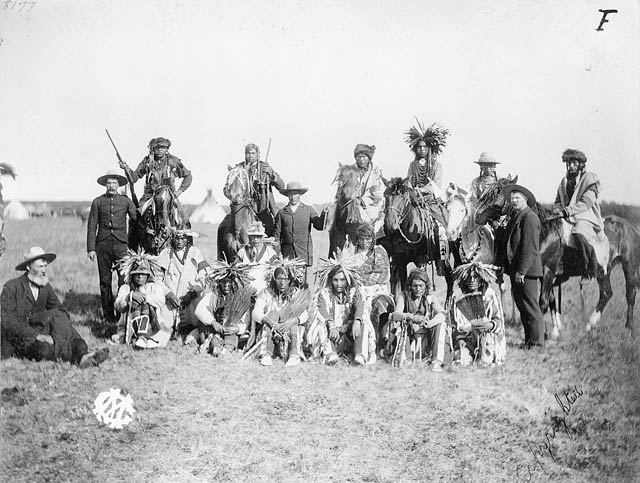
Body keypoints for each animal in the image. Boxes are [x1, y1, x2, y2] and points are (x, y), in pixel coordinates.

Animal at [478, 182, 636, 336]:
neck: (544, 232)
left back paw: (620, 326)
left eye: (496, 194)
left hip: (624, 267)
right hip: (606, 270)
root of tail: (630, 227)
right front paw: (553, 330)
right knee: (607, 294)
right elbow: (552, 301)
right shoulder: (544, 274)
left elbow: (543, 302)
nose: (477, 215)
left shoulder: (548, 270)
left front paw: (534, 330)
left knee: (624, 294)